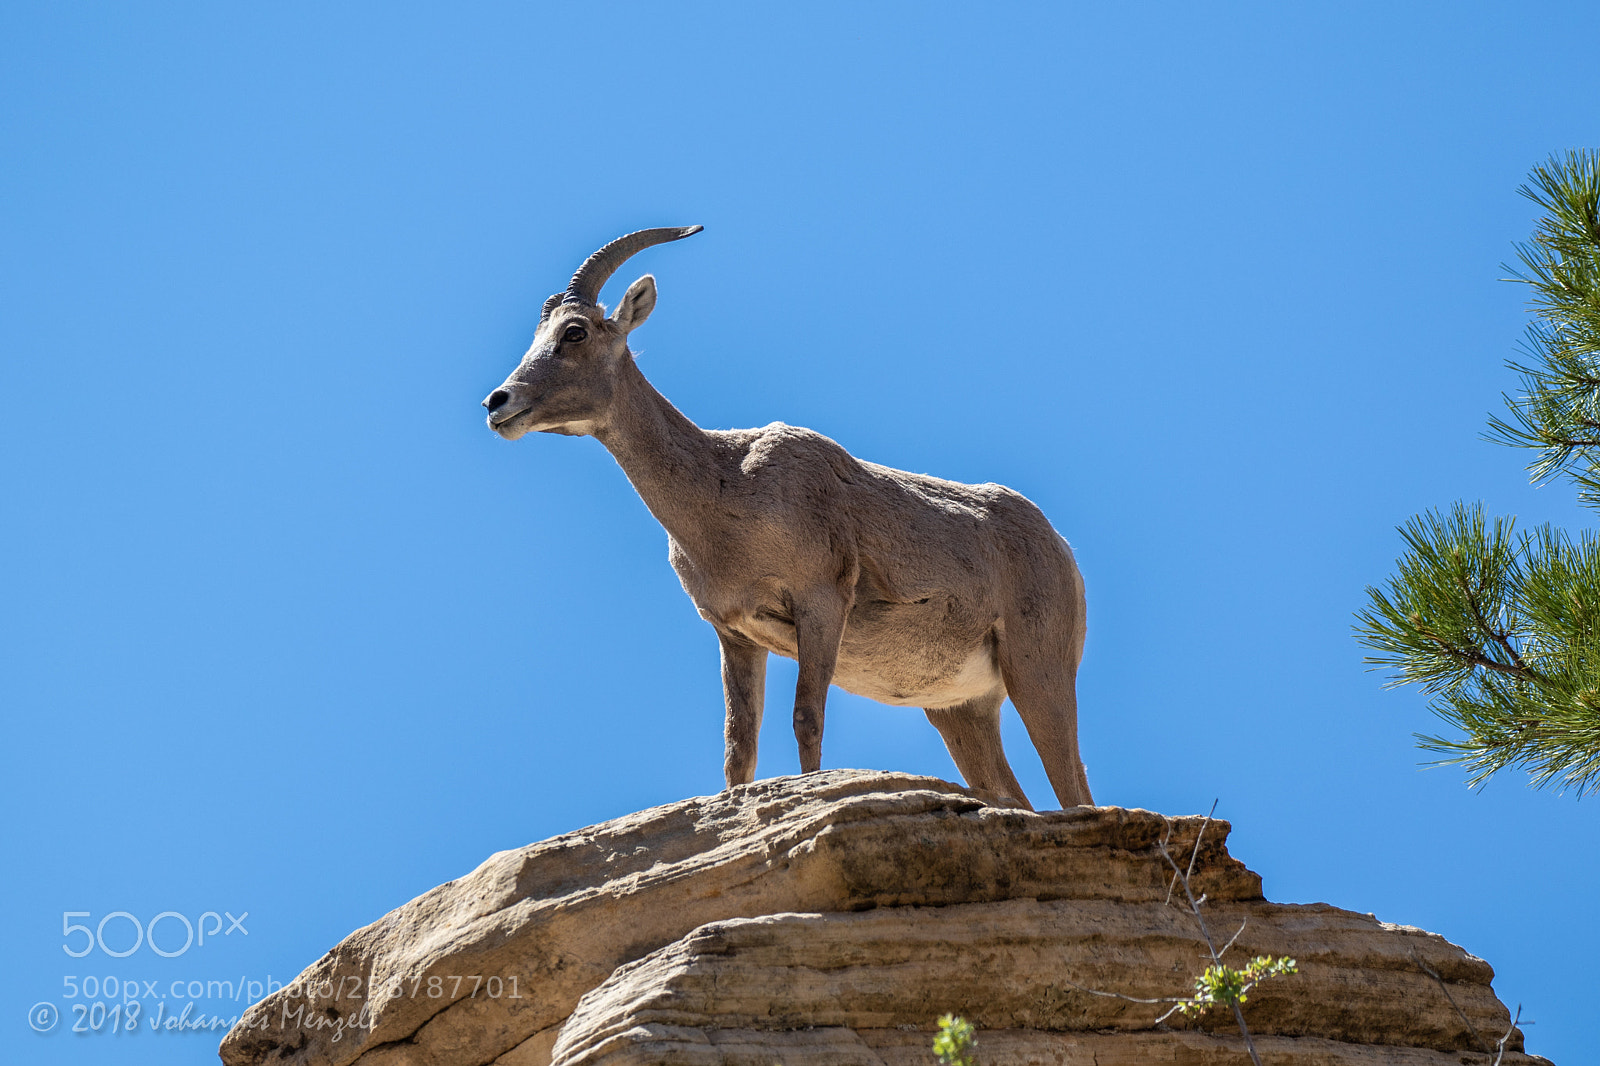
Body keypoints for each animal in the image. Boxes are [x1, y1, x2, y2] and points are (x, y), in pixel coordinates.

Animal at [483, 227, 1091, 809]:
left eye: (575, 333)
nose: (497, 403)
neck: (730, 489)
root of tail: (1062, 550)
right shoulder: (735, 635)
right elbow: (738, 747)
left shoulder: (819, 605)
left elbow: (806, 720)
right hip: (960, 710)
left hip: (1039, 674)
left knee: (1075, 791)